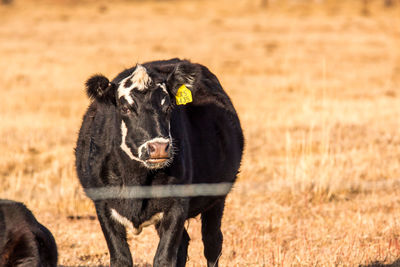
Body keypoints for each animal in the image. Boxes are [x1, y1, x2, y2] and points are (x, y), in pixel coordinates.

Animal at [75, 58, 244, 267]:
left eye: (169, 107)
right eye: (125, 108)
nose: (159, 146)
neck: (136, 181)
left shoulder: (177, 204)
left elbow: (164, 258)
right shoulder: (103, 204)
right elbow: (121, 258)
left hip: (218, 196)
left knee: (212, 242)